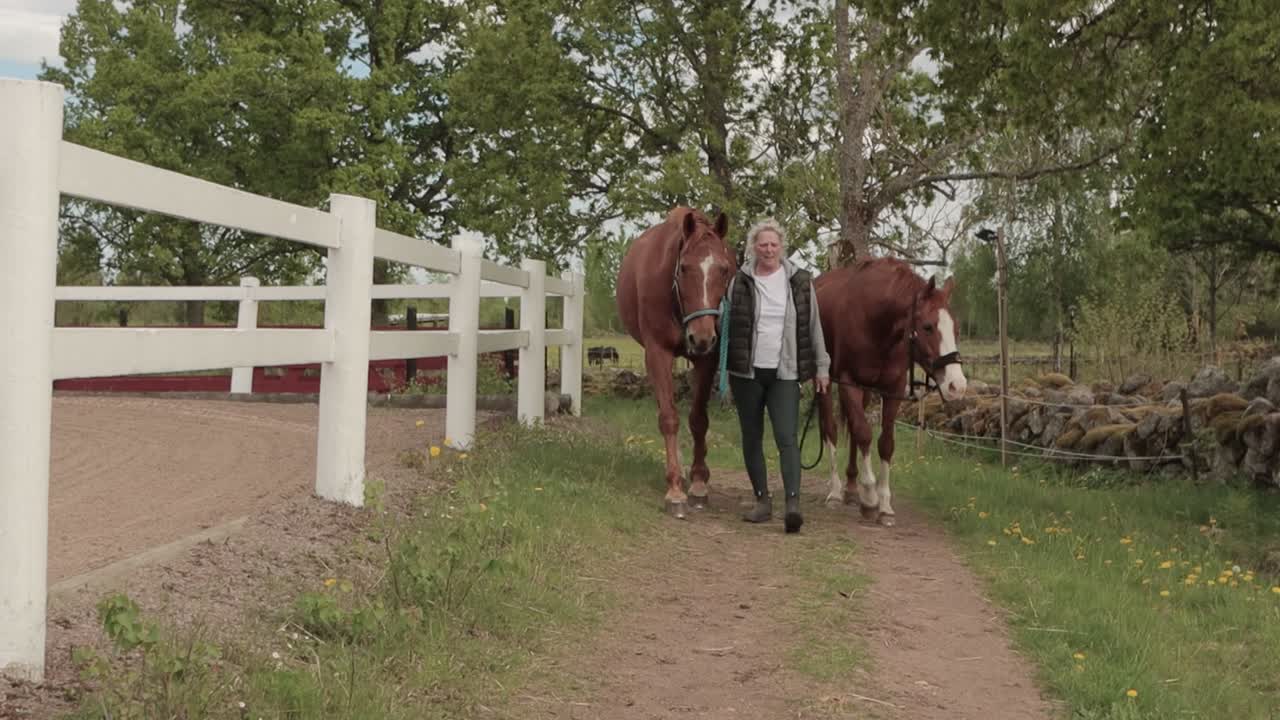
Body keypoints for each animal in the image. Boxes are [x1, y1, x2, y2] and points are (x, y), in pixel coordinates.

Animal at [616, 207, 735, 518]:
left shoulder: (707, 360)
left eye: (724, 269)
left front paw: (698, 483)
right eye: (684, 268)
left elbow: (698, 420)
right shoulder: (658, 354)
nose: (702, 337)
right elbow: (669, 418)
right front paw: (675, 490)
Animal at [814, 257, 968, 527]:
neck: (875, 322)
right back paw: (836, 491)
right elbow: (864, 434)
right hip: (825, 381)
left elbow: (885, 443)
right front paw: (870, 498)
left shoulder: (893, 388)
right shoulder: (848, 382)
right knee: (831, 429)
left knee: (852, 427)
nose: (956, 385)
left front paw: (884, 505)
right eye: (928, 327)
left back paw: (851, 488)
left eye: (957, 328)